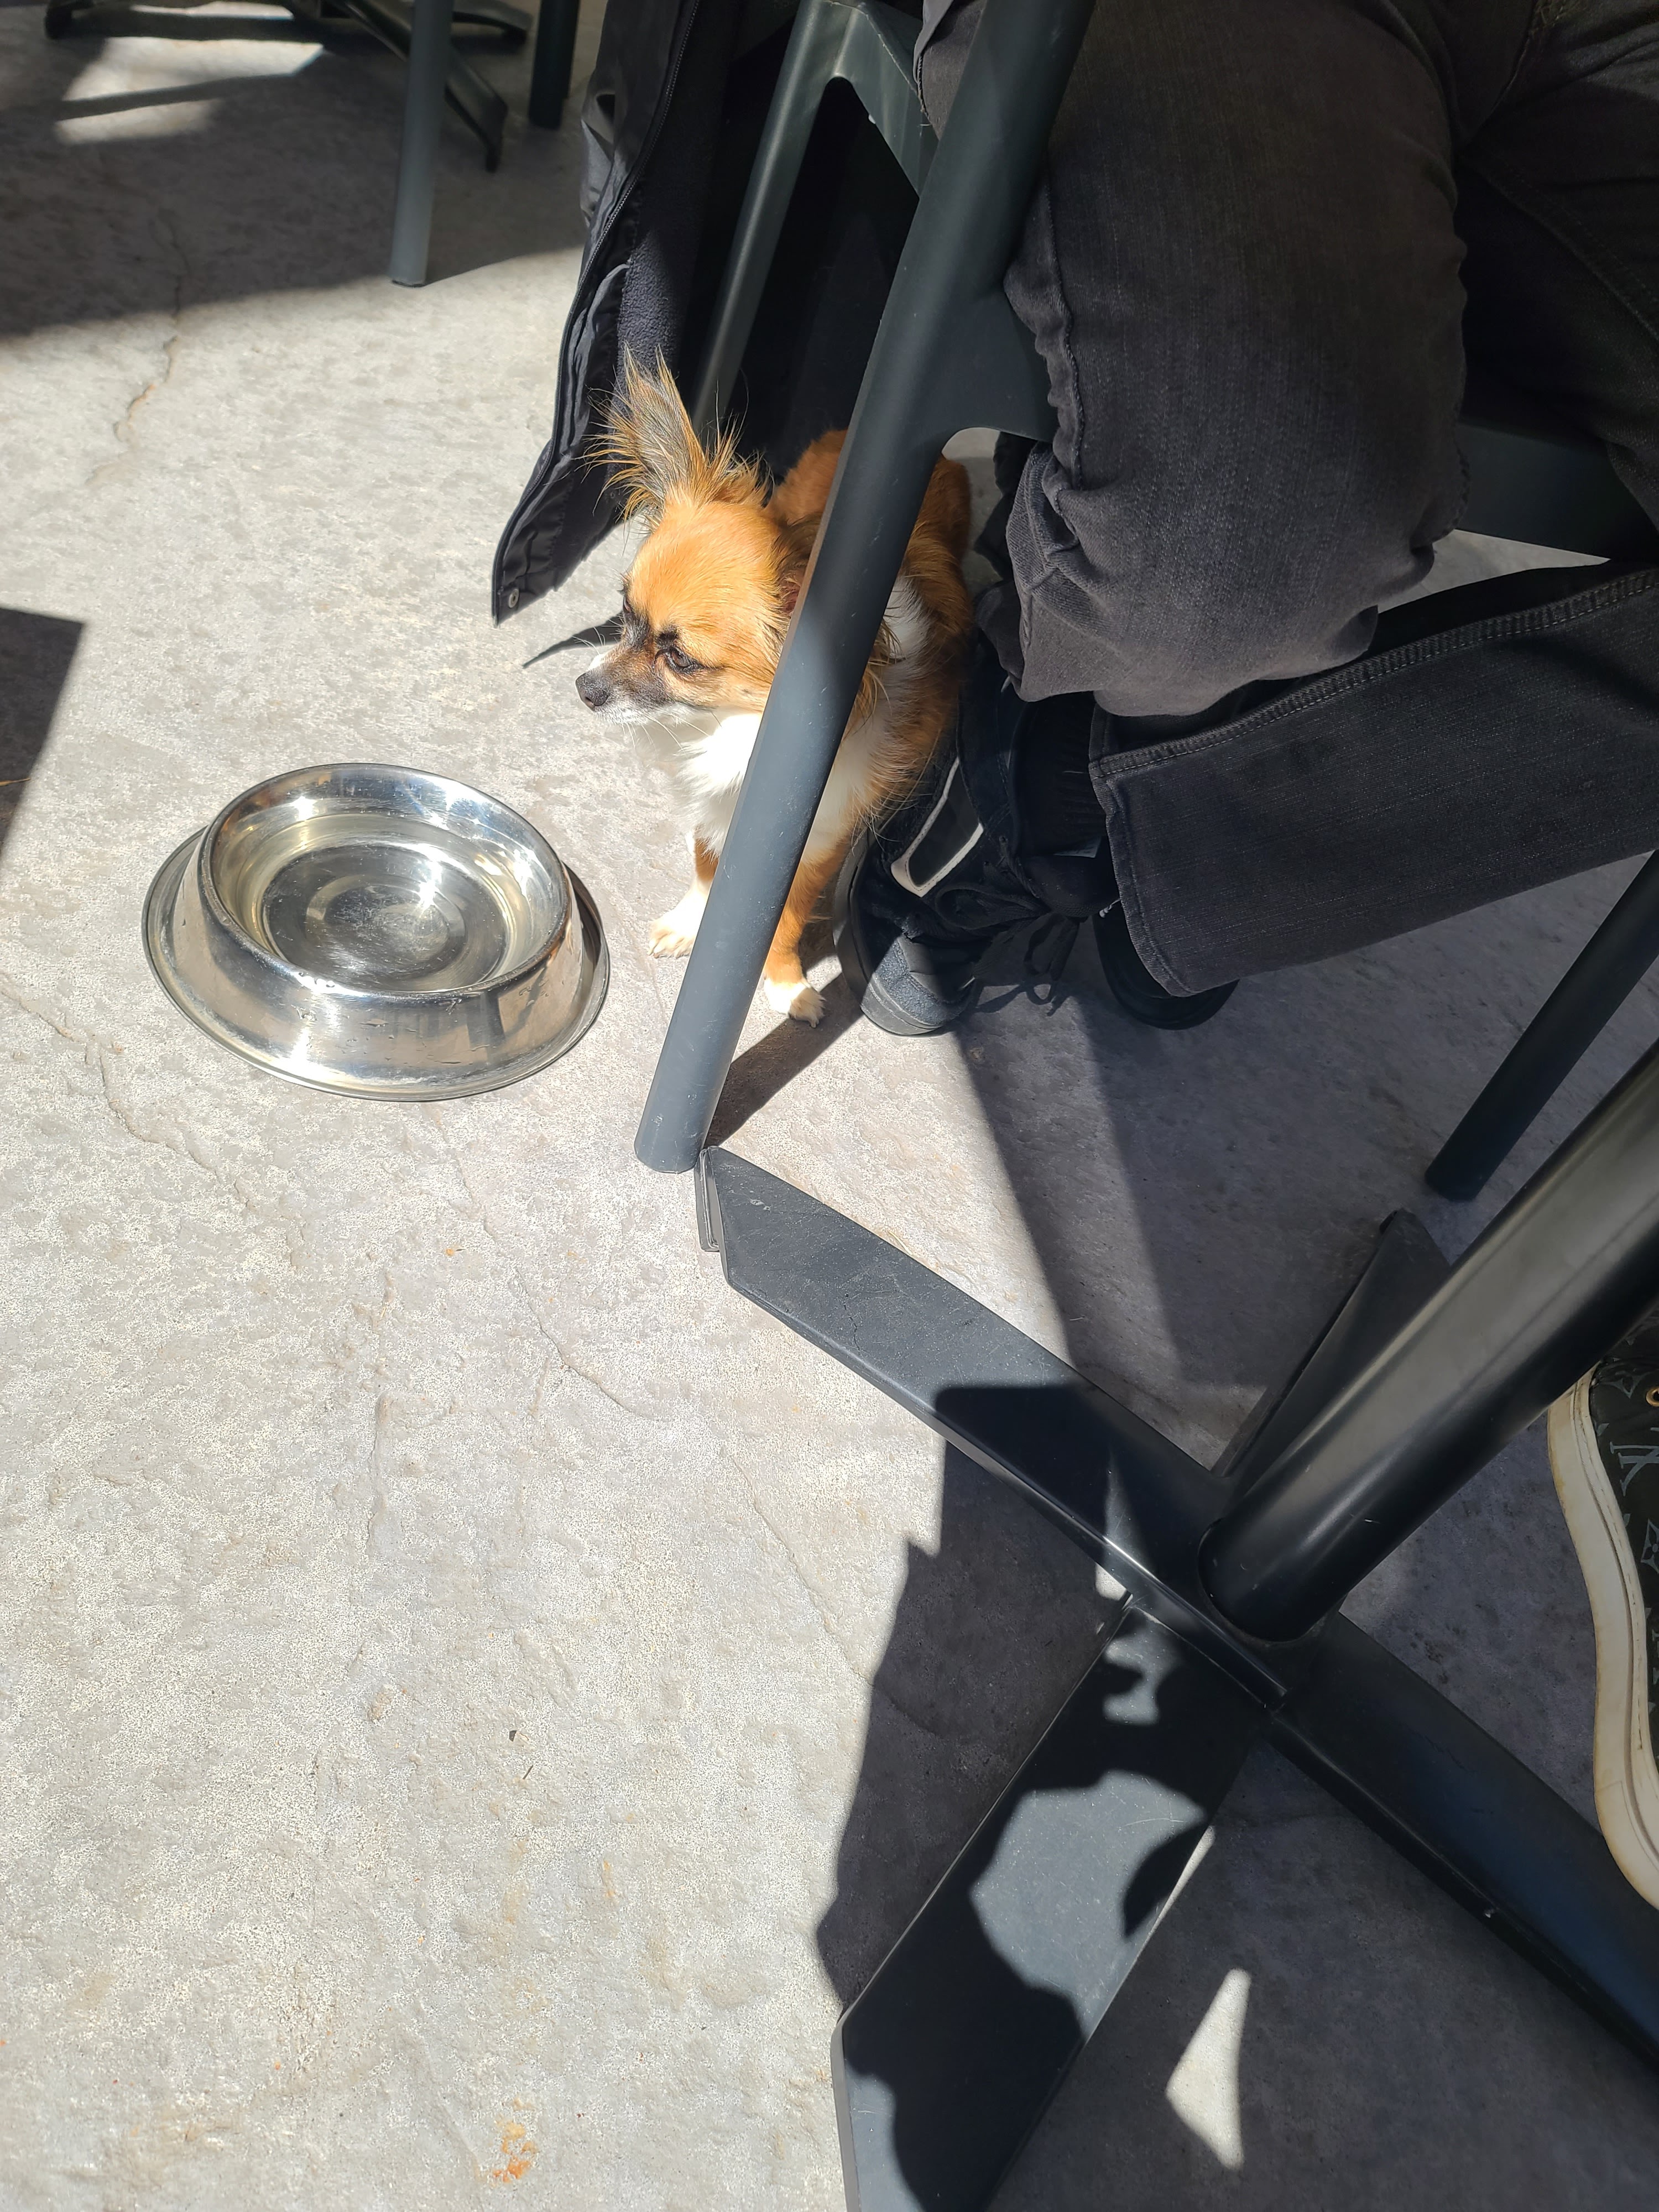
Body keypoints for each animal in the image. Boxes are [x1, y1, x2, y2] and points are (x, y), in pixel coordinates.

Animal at [575, 358, 974, 1024]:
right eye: (625, 615)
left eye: (679, 659)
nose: (585, 687)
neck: (739, 728)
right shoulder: (716, 806)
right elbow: (707, 867)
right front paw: (691, 923)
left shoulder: (818, 842)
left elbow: (784, 919)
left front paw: (787, 985)